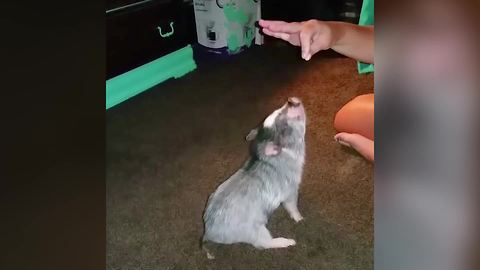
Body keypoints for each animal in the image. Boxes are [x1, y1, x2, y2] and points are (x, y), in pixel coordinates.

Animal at [201, 96, 306, 258]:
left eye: (279, 109)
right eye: (283, 126)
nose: (290, 100)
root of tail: (208, 232)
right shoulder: (290, 189)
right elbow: (292, 206)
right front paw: (300, 219)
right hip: (255, 230)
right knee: (263, 243)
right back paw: (288, 241)